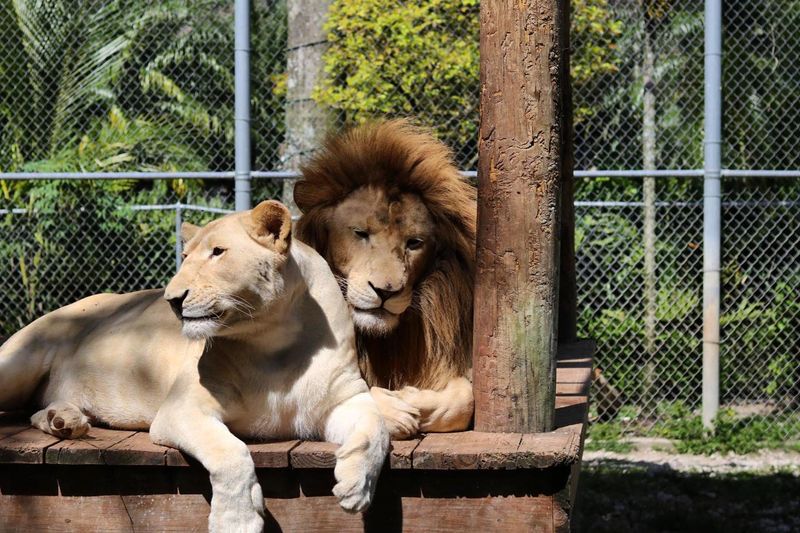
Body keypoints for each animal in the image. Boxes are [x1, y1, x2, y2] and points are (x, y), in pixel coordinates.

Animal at [0, 200, 389, 531]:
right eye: (185, 256)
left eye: (218, 252)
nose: (172, 299)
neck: (278, 344)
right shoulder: (182, 409)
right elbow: (230, 451)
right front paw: (236, 520)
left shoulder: (345, 399)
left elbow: (377, 429)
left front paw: (355, 485)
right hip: (18, 362)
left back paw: (64, 421)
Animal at [294, 119, 476, 439]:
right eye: (360, 233)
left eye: (414, 243)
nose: (386, 291)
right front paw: (395, 411)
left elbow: (465, 398)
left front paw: (412, 398)